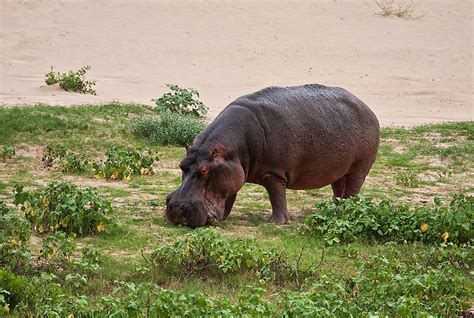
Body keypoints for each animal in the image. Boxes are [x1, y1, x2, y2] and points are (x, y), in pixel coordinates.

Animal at [165, 83, 380, 227]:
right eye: (181, 165)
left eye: (204, 170)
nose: (175, 208)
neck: (233, 149)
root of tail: (367, 107)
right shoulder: (232, 171)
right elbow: (230, 195)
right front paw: (224, 216)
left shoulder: (273, 173)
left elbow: (276, 196)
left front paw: (277, 222)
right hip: (338, 169)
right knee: (338, 189)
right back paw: (334, 211)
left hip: (359, 168)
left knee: (352, 189)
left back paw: (345, 213)